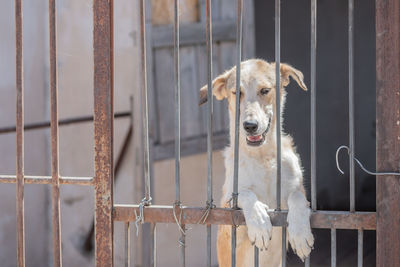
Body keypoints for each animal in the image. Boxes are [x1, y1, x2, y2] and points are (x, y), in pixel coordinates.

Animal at [198, 59, 314, 267]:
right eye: (236, 93)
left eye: (265, 90)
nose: (250, 126)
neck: (262, 158)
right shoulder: (228, 223)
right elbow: (244, 194)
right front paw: (259, 222)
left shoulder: (295, 195)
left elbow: (297, 197)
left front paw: (300, 234)